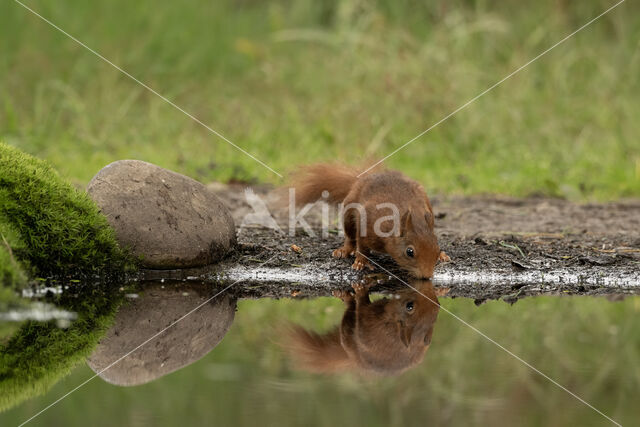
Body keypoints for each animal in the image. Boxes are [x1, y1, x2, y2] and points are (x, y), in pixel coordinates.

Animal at [284, 280, 444, 374]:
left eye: (409, 306)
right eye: (438, 304)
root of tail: (354, 360)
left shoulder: (369, 321)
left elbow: (361, 305)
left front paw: (360, 289)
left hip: (347, 331)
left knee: (351, 310)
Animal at [292, 163, 448, 278]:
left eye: (437, 246)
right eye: (410, 252)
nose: (427, 276)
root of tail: (361, 179)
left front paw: (441, 254)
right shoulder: (366, 223)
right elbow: (362, 246)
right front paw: (361, 262)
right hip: (349, 213)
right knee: (350, 236)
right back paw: (345, 250)